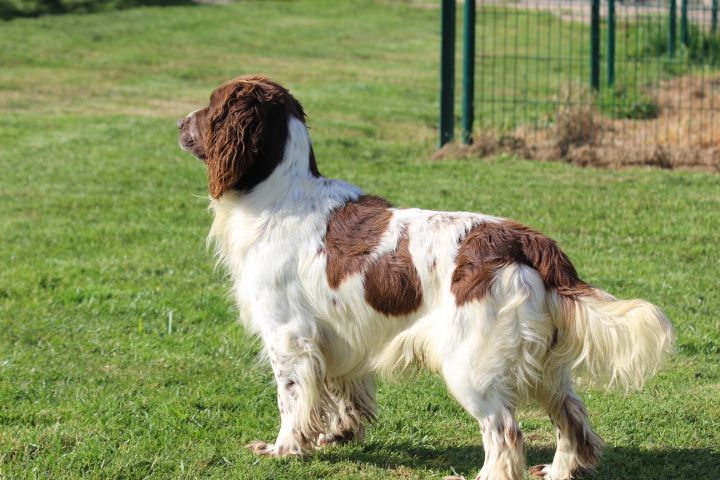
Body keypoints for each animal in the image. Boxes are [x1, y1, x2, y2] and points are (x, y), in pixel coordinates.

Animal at [177, 73, 672, 478]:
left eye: (212, 105)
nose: (180, 123)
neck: (280, 195)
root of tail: (523, 240)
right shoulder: (338, 336)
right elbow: (341, 393)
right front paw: (337, 435)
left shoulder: (289, 335)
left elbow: (292, 399)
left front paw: (283, 448)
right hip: (545, 365)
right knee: (572, 418)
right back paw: (557, 470)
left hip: (472, 364)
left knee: (504, 433)